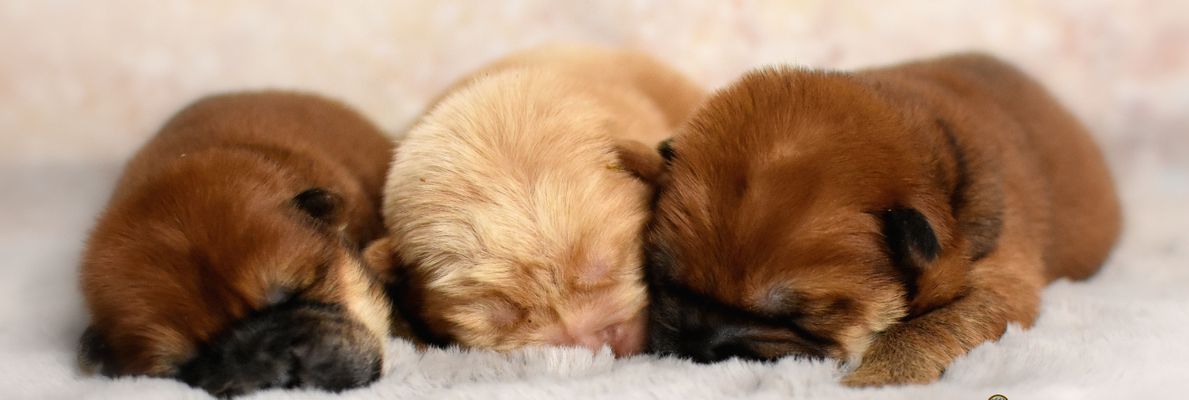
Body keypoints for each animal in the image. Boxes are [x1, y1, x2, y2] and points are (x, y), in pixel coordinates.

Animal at [646, 54, 1117, 385]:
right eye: (669, 283)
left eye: (796, 319)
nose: (696, 344)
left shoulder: (1000, 282)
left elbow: (926, 328)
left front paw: (875, 379)